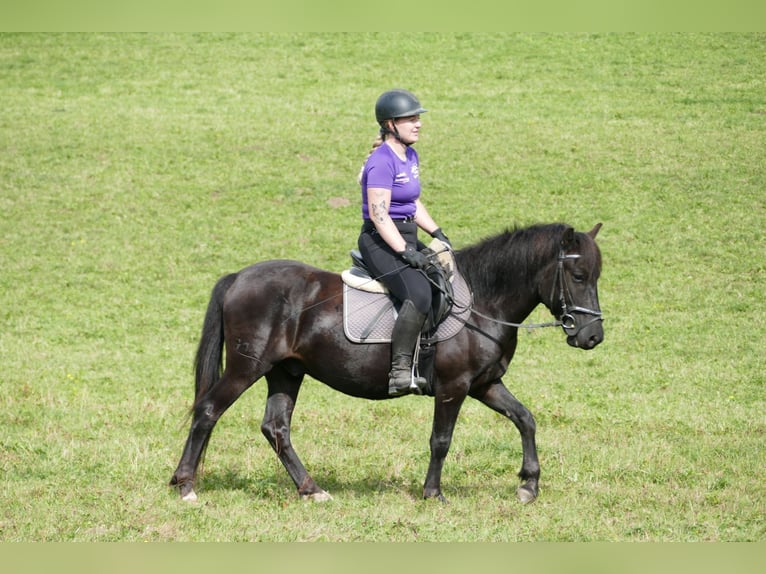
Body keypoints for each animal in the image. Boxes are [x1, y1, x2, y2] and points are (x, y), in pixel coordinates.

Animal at [170, 222, 604, 504]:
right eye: (579, 275)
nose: (592, 337)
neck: (481, 301)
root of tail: (239, 277)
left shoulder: (484, 385)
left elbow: (525, 419)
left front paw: (529, 485)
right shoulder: (453, 388)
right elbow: (441, 439)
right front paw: (433, 493)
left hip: (286, 372)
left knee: (276, 428)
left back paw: (311, 489)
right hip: (247, 367)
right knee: (208, 411)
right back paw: (186, 485)